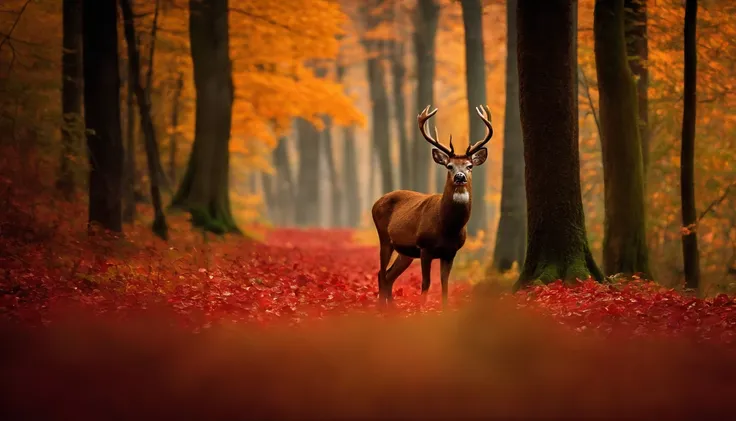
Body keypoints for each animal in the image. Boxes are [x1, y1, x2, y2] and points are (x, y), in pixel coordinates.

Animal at [370, 103, 492, 306]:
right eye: (449, 166)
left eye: (469, 166)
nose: (460, 177)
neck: (447, 227)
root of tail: (376, 202)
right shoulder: (425, 247)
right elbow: (425, 284)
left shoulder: (450, 252)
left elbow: (444, 286)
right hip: (385, 238)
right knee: (381, 273)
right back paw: (381, 307)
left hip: (405, 252)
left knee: (389, 275)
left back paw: (391, 308)